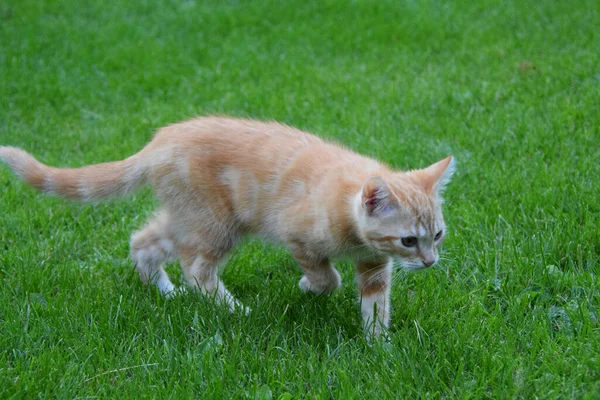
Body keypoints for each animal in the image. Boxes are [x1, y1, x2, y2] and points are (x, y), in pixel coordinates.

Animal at [0, 116, 454, 338]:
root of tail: (157, 144)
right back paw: (234, 309)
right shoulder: (296, 234)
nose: (430, 262)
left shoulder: (374, 264)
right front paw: (309, 287)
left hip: (187, 219)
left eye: (437, 235)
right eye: (408, 240)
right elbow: (327, 277)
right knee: (197, 269)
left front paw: (378, 343)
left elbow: (376, 304)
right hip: (215, 224)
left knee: (144, 241)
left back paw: (165, 292)